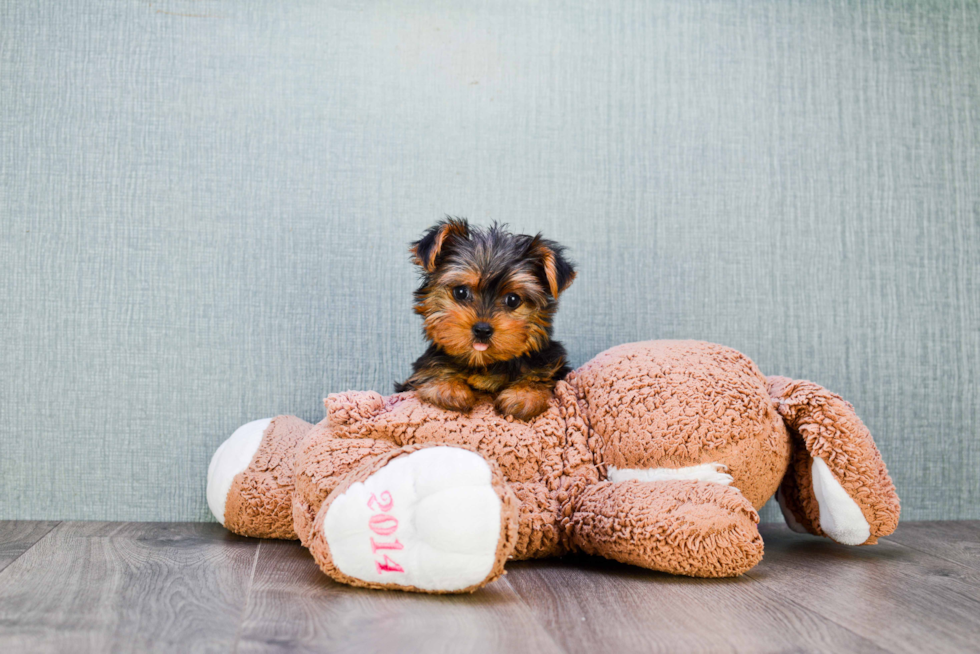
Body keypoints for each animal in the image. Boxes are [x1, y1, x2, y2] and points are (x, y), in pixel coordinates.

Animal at [396, 215, 580, 420]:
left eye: (513, 300)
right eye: (460, 292)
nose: (482, 330)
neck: (483, 363)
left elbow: (539, 375)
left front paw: (525, 395)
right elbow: (434, 370)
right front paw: (449, 387)